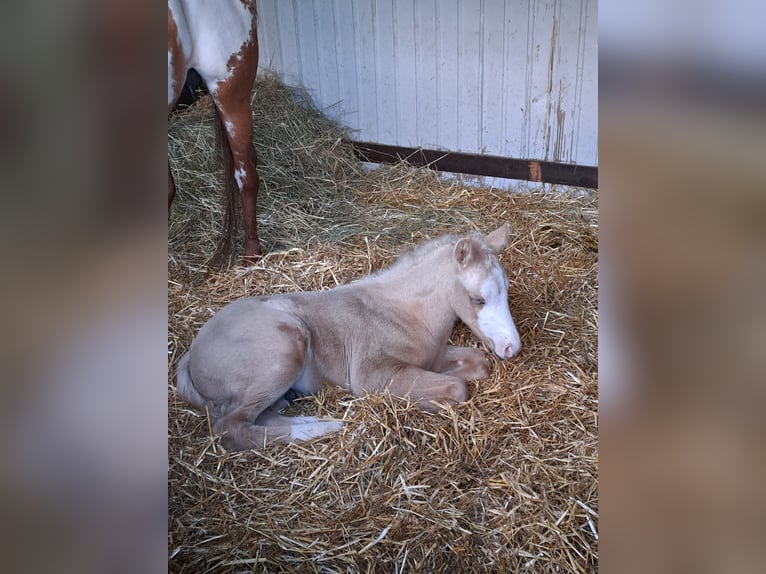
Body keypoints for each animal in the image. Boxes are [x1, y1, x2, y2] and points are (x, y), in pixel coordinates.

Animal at [176, 224, 520, 450]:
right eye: (477, 299)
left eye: (506, 290)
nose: (511, 347)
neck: (405, 313)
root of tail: (190, 354)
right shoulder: (371, 375)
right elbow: (457, 389)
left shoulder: (432, 358)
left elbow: (479, 363)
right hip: (285, 348)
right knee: (230, 427)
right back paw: (327, 427)